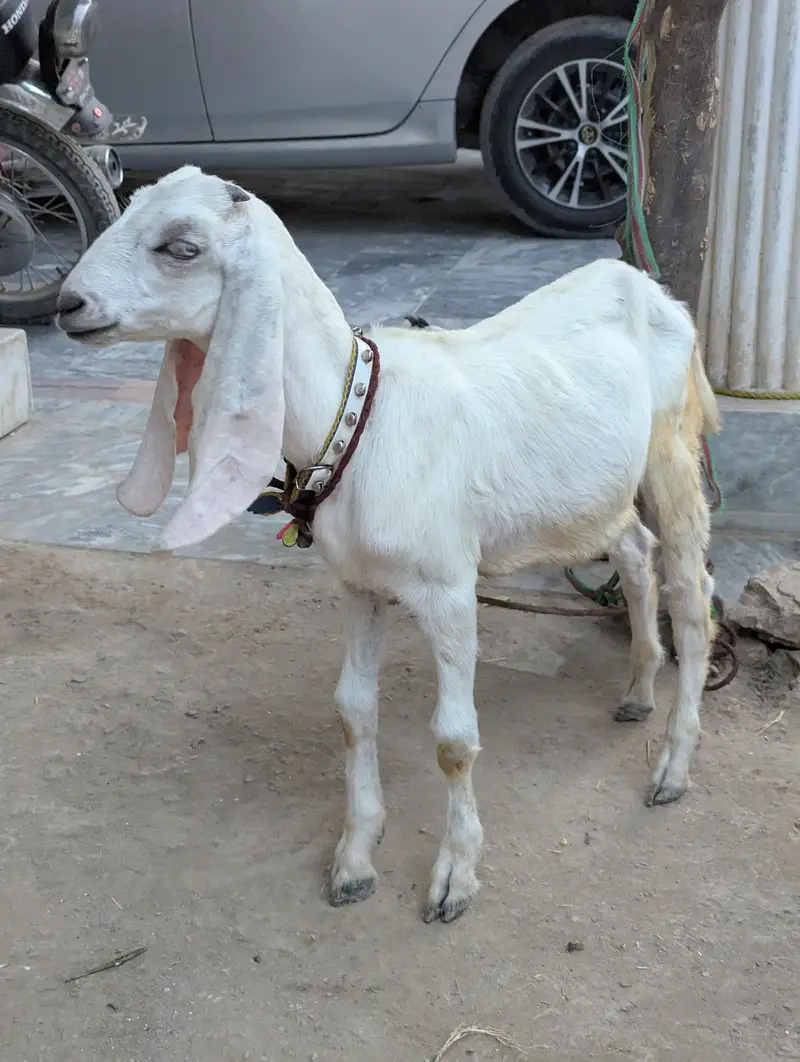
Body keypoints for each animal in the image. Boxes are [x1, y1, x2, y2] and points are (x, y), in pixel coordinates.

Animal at [56, 166, 720, 924]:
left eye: (181, 247)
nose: (67, 304)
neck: (358, 418)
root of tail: (645, 285)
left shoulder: (450, 590)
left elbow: (454, 741)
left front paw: (454, 876)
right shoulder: (359, 586)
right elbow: (352, 711)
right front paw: (354, 859)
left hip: (672, 448)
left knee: (690, 593)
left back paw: (672, 767)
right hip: (595, 496)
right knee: (635, 553)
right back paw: (638, 689)